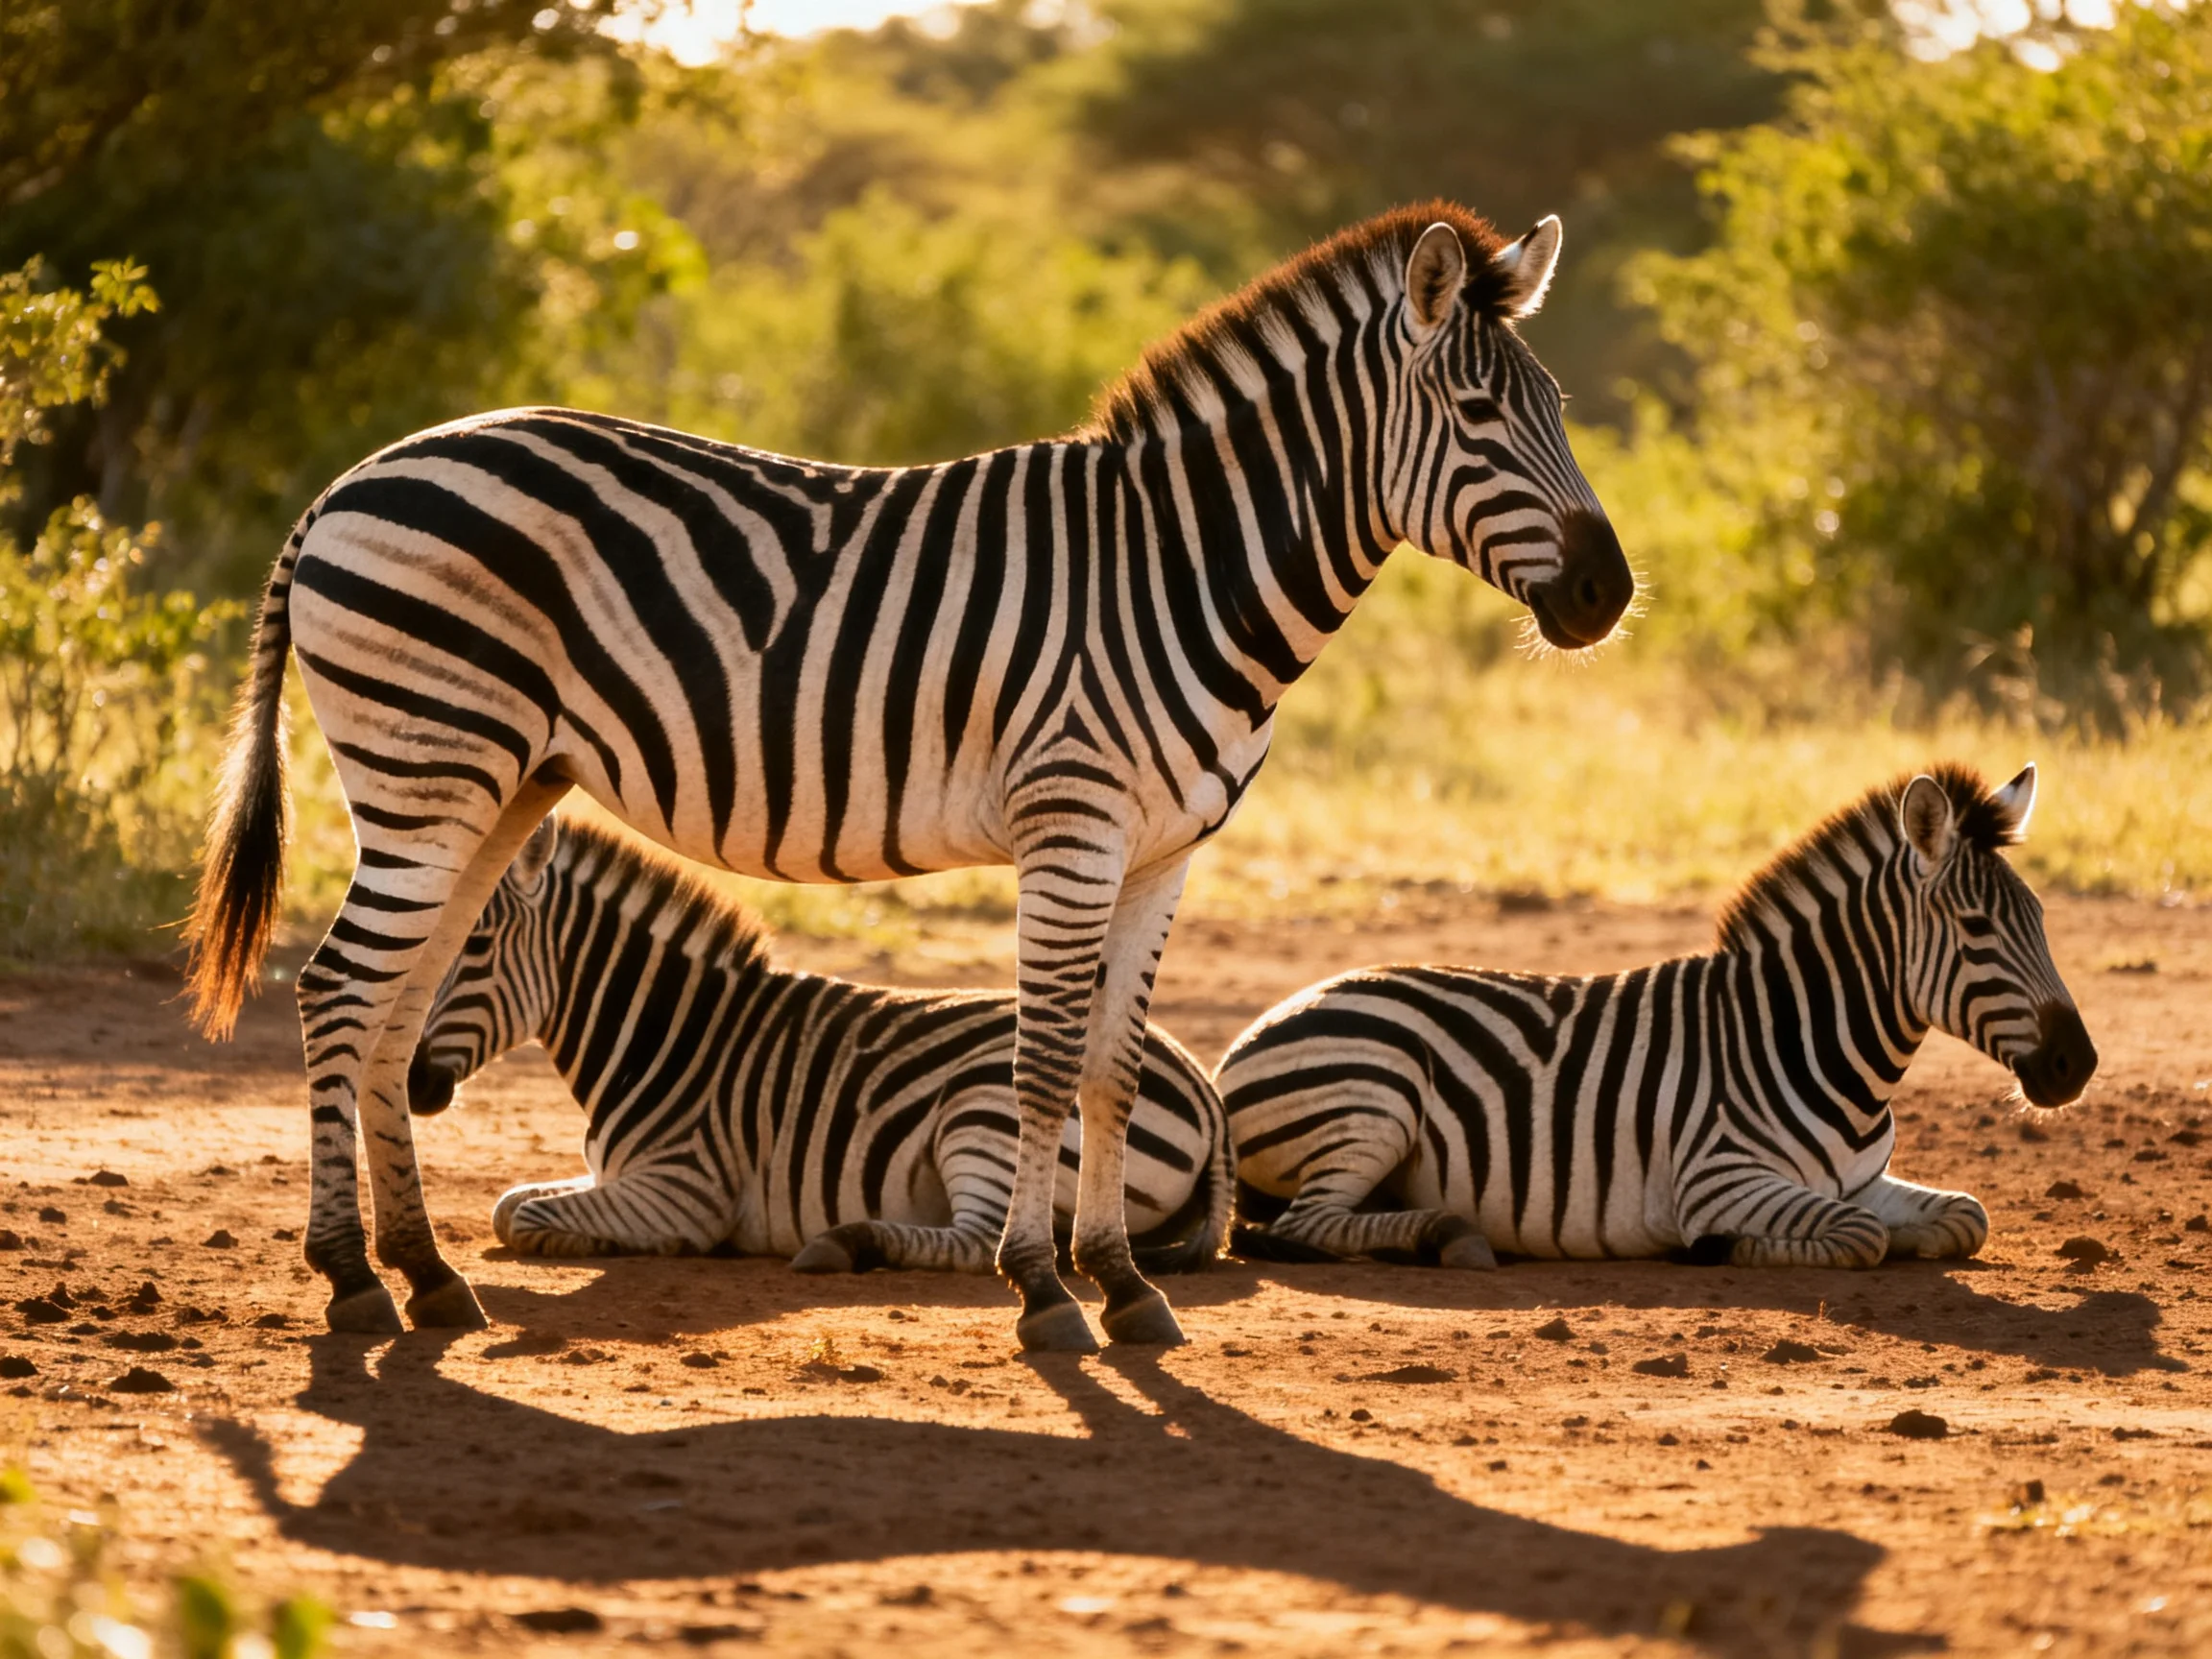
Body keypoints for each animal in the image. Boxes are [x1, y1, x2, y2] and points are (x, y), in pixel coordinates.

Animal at [406, 815, 1231, 1274]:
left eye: (473, 945)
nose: (411, 1084)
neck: (668, 1034)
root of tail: (1201, 1084)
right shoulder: (618, 1173)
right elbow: (511, 1201)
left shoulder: (685, 1187)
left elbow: (522, 1218)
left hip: (982, 1113)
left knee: (977, 1243)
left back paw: (846, 1243)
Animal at [1218, 764, 2097, 1270]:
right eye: (1977, 930)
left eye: (2042, 918)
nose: (2078, 1065)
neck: (1811, 1047)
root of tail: (1257, 1027)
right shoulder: (1719, 1177)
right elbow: (1858, 1237)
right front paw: (1725, 1249)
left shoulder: (1862, 1181)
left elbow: (1964, 1216)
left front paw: (1921, 1232)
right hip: (1375, 1098)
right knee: (1304, 1225)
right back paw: (1445, 1235)